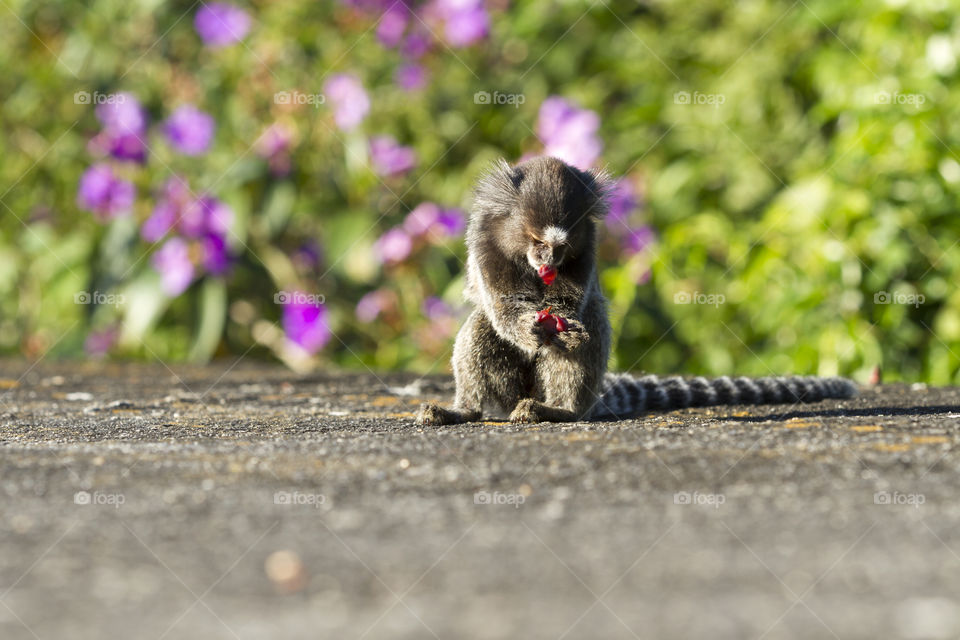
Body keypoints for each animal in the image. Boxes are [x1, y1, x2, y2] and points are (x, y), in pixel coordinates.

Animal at [415, 156, 857, 425]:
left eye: (560, 248)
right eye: (537, 242)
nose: (548, 263)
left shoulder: (586, 244)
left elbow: (574, 307)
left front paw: (563, 325)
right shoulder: (484, 238)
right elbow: (502, 307)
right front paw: (527, 327)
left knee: (589, 326)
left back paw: (557, 410)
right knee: (479, 328)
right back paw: (465, 411)